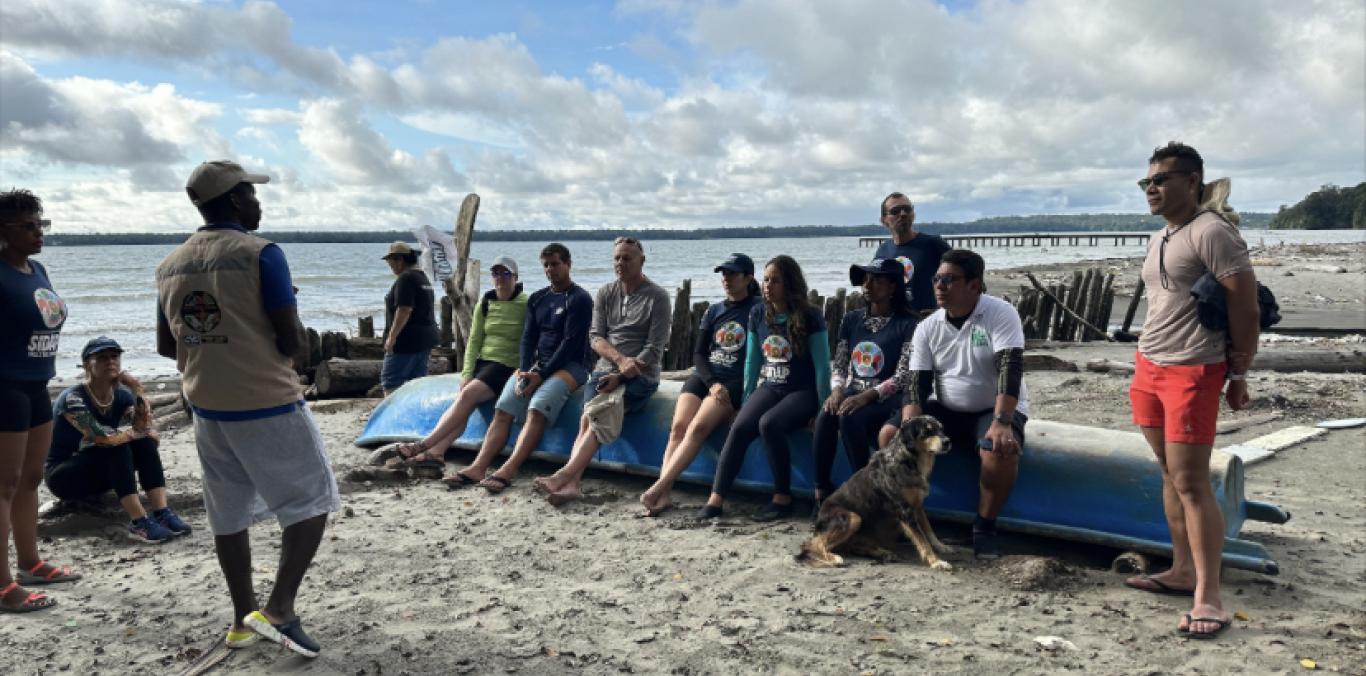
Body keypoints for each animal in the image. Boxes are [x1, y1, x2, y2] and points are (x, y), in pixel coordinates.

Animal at [797, 415, 956, 568]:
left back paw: (882, 553)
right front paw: (936, 562)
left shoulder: (917, 505)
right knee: (811, 545)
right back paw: (834, 558)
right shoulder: (905, 510)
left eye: (941, 429)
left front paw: (941, 546)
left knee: (851, 545)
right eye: (927, 431)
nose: (947, 441)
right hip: (852, 517)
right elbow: (922, 540)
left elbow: (928, 529)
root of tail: (819, 517)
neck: (907, 460)